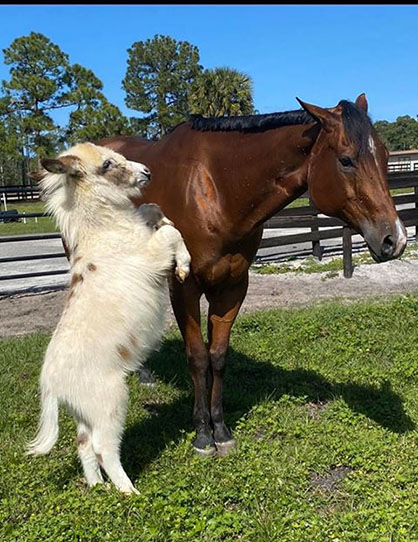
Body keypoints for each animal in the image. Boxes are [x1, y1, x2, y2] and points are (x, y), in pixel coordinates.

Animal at [27, 143, 193, 498]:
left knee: (84, 444)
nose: (147, 172)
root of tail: (52, 383)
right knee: (104, 447)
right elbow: (171, 233)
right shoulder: (151, 256)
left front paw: (164, 218)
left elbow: (152, 209)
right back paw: (130, 492)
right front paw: (184, 267)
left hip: (85, 412)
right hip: (109, 402)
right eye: (106, 164)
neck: (106, 232)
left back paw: (97, 486)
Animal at [97, 94, 404, 460]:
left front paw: (220, 430)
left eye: (385, 156)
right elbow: (197, 357)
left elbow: (217, 356)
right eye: (346, 160)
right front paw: (202, 435)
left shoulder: (232, 286)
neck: (214, 187)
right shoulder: (185, 288)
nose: (395, 240)